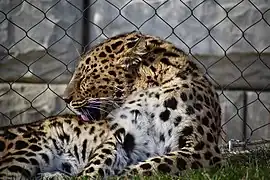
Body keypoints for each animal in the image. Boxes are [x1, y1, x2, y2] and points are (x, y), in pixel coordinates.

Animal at [62, 31, 223, 178]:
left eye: (85, 76)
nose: (64, 98)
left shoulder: (202, 149)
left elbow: (155, 165)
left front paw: (122, 176)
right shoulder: (122, 137)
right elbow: (100, 158)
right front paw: (85, 176)